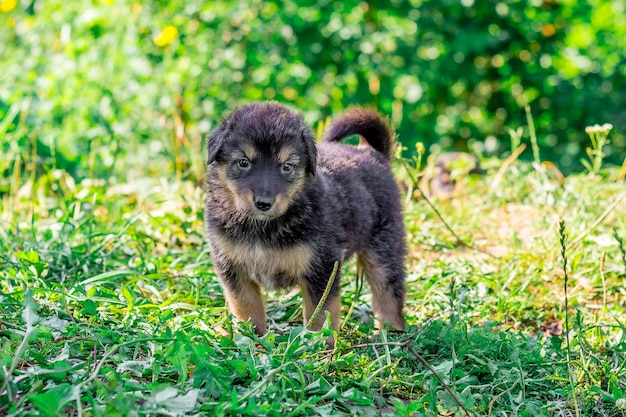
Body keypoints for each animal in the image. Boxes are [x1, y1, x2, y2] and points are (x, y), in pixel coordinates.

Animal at [206, 102, 404, 340]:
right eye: (243, 162)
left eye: (287, 166)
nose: (264, 203)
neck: (263, 226)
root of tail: (373, 153)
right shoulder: (232, 267)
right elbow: (246, 306)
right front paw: (250, 336)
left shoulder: (322, 267)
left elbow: (320, 312)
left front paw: (318, 342)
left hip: (383, 246)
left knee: (388, 292)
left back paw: (390, 333)